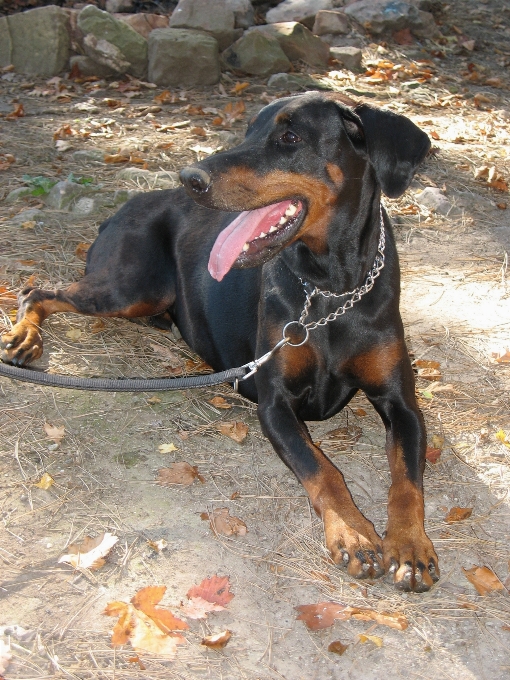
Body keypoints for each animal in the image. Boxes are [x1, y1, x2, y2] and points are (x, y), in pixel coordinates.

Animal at [0, 93, 438, 592]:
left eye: (290, 136)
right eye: (249, 130)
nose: (190, 178)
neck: (331, 291)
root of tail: (124, 205)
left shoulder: (401, 404)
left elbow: (407, 482)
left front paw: (410, 547)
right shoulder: (274, 404)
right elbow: (322, 469)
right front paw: (354, 533)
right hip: (132, 287)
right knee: (36, 291)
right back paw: (23, 338)